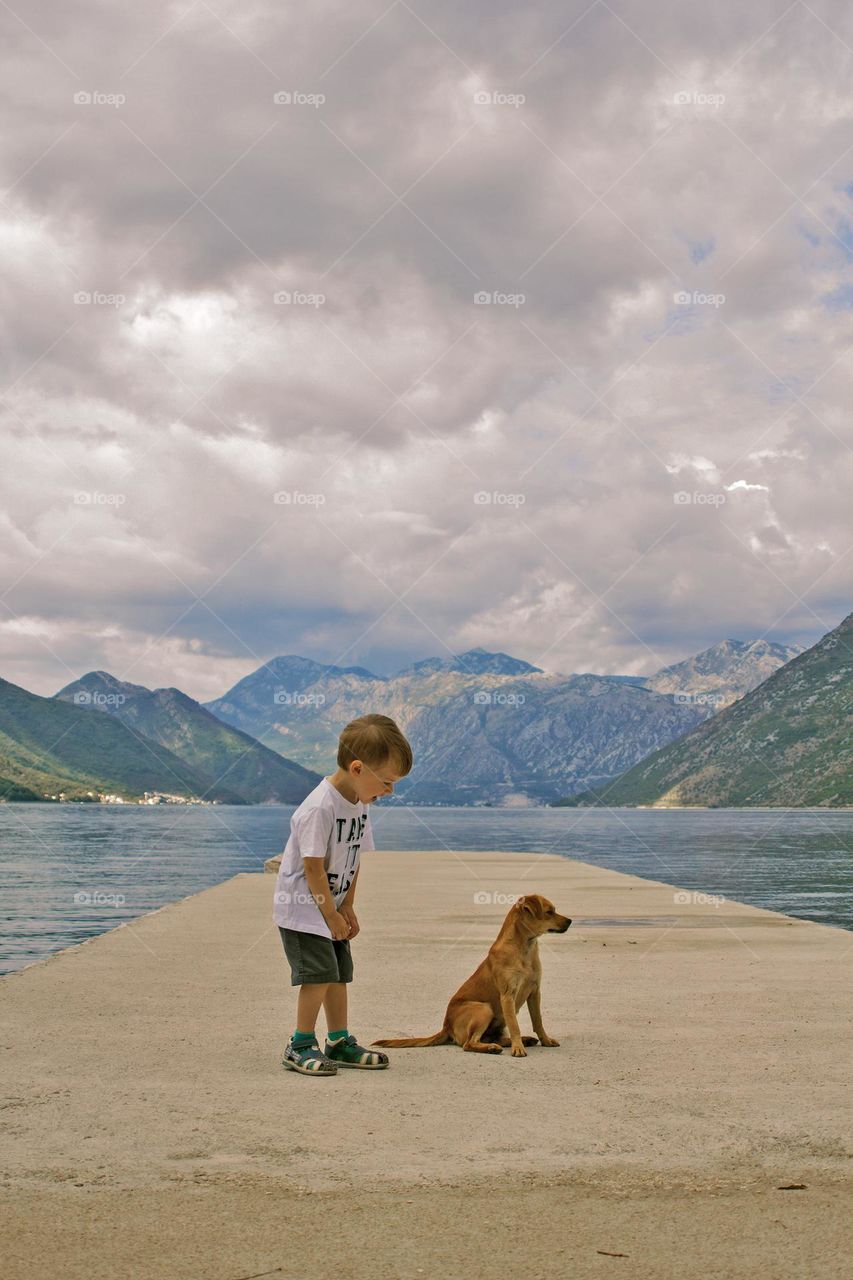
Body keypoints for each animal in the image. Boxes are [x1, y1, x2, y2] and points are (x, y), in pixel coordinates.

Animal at [373, 890, 568, 1059]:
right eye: (549, 912)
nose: (570, 921)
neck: (524, 949)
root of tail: (447, 1026)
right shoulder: (507, 996)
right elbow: (515, 1026)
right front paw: (518, 1047)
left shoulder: (535, 992)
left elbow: (538, 1022)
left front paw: (545, 1040)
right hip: (483, 1009)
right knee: (469, 1043)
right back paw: (494, 1047)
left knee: (493, 1038)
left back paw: (521, 1040)